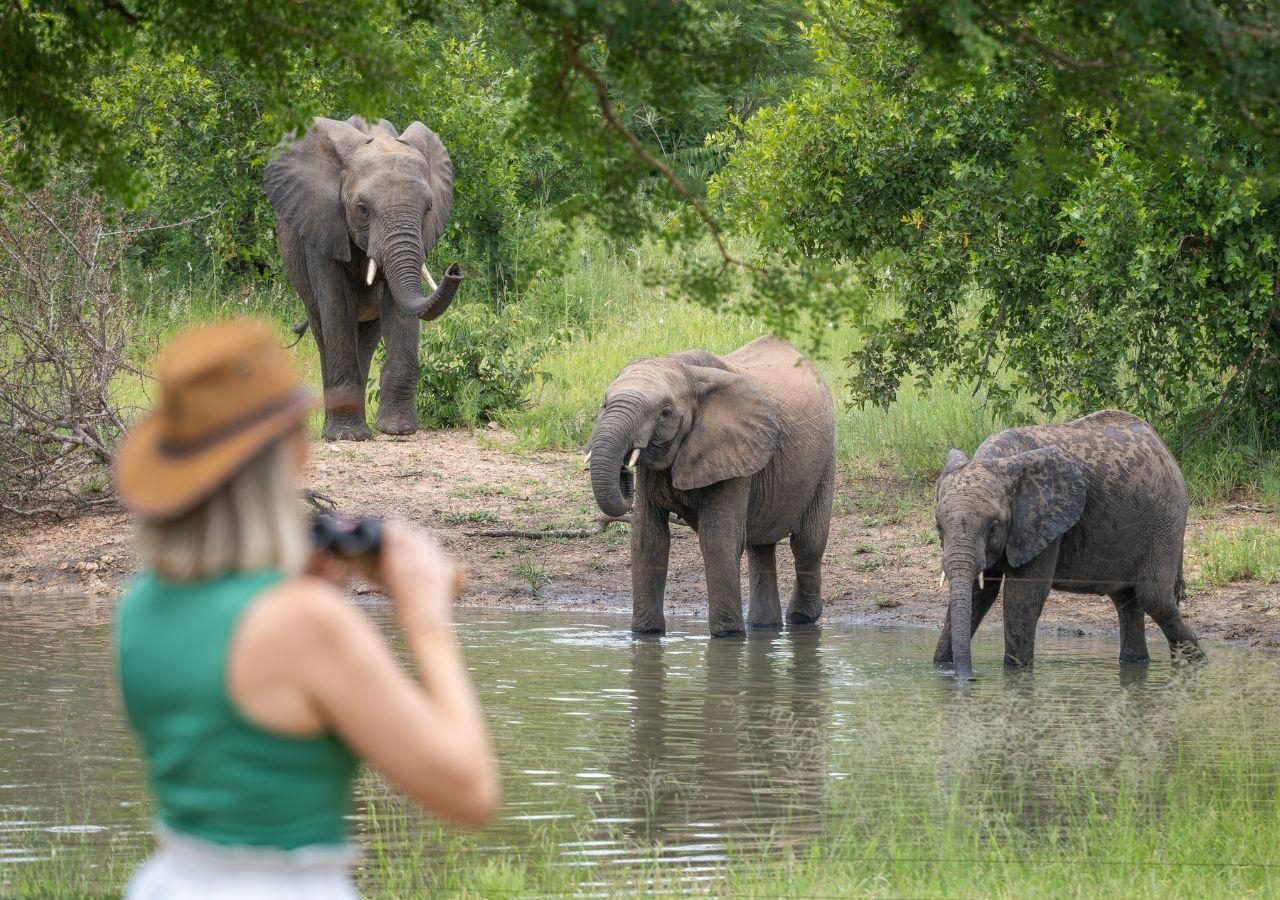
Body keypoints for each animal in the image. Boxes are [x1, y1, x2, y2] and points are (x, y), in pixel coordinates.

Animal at [264, 116, 464, 441]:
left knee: (368, 337)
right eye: (362, 209)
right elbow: (337, 306)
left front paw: (398, 430)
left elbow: (399, 307)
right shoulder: (324, 224)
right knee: (323, 330)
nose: (454, 270)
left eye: (428, 208)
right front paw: (347, 436)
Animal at [585, 336, 836, 637]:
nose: (624, 468)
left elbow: (718, 540)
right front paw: (646, 635)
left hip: (825, 460)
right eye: (604, 404)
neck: (685, 369)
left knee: (807, 543)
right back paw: (764, 626)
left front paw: (728, 637)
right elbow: (648, 539)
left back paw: (800, 618)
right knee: (760, 546)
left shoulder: (734, 452)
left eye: (666, 413)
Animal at [933, 409, 1205, 680]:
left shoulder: (1043, 525)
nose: (969, 678)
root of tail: (1163, 447)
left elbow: (1023, 596)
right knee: (1127, 600)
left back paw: (1198, 662)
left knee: (1154, 598)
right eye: (938, 527)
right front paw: (941, 668)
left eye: (993, 527)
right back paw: (1136, 664)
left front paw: (1015, 673)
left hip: (1166, 521)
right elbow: (980, 594)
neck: (997, 460)